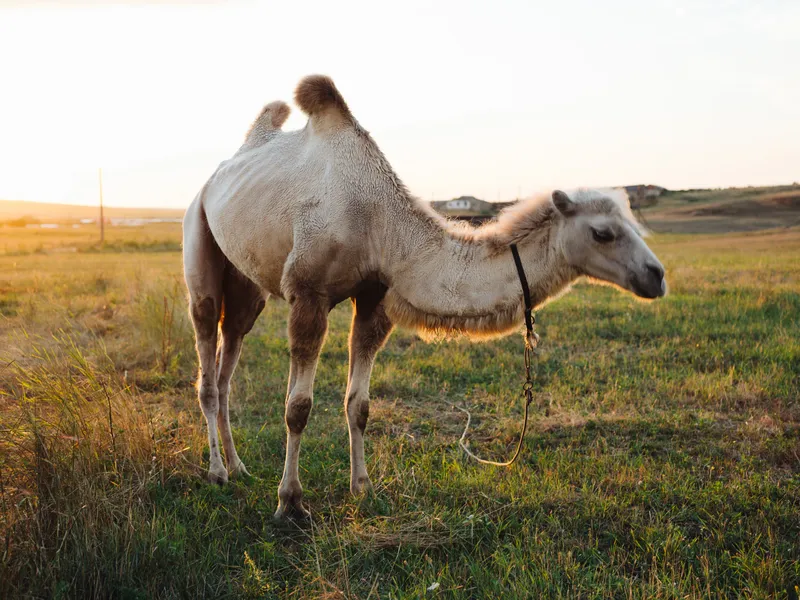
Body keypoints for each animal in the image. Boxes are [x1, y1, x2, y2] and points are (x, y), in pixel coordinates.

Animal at [182, 75, 667, 519]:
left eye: (633, 223)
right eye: (603, 233)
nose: (657, 276)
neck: (381, 224)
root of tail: (214, 178)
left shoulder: (375, 297)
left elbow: (359, 404)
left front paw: (362, 487)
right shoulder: (309, 293)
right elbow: (298, 407)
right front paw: (290, 502)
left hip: (248, 286)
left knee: (228, 358)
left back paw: (239, 466)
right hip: (198, 235)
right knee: (206, 361)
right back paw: (218, 473)